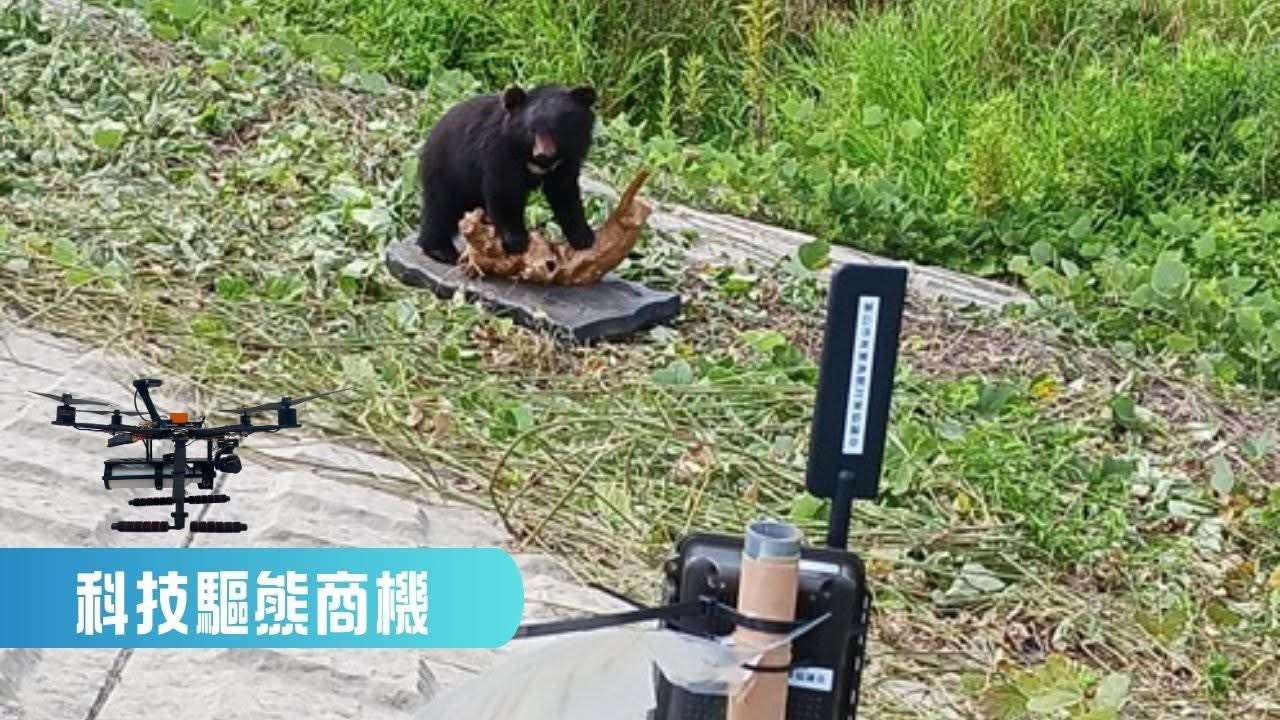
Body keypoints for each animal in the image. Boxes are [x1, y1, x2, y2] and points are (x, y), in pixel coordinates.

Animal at [415, 84, 599, 265]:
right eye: (531, 131)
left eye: (557, 130)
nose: (543, 154)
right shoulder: (500, 153)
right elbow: (504, 192)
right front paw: (516, 241)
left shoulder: (566, 161)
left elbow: (565, 193)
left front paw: (584, 238)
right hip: (448, 169)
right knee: (441, 207)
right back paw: (440, 250)